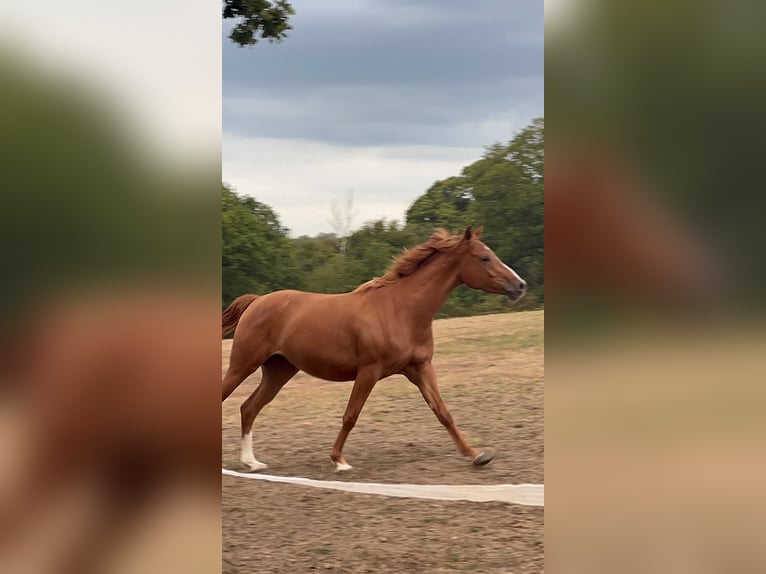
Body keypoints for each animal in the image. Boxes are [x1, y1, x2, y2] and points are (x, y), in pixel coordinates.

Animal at [221, 226, 527, 472]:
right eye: (484, 257)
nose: (520, 285)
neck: (400, 310)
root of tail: (256, 301)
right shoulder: (369, 371)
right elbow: (351, 415)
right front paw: (339, 461)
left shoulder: (419, 368)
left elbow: (443, 412)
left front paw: (476, 455)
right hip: (243, 364)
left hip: (279, 370)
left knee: (249, 408)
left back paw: (252, 462)